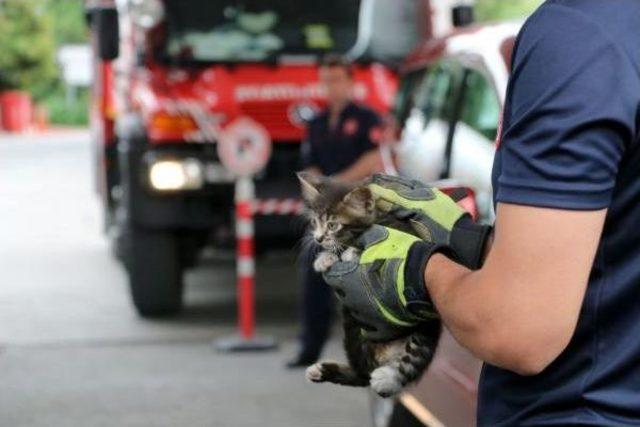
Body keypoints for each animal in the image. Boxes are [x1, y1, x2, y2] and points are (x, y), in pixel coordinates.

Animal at [298, 172, 442, 400]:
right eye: (314, 222)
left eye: (332, 225)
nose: (318, 239)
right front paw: (326, 258)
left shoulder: (406, 234)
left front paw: (351, 253)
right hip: (355, 333)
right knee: (362, 373)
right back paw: (321, 370)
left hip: (426, 325)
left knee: (414, 355)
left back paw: (387, 379)